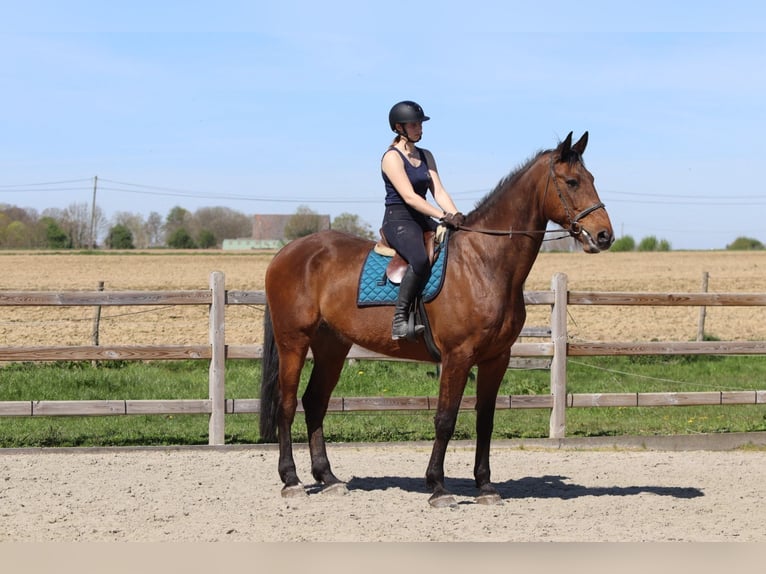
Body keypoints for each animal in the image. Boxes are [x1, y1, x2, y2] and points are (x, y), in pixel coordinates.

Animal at [259, 131, 613, 507]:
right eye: (572, 182)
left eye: (591, 179)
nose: (604, 235)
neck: (484, 262)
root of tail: (286, 252)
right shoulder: (458, 356)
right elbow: (445, 419)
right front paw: (438, 487)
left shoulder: (496, 358)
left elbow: (485, 420)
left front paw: (485, 486)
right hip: (293, 342)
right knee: (286, 404)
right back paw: (291, 480)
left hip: (331, 347)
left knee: (315, 402)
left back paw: (328, 477)